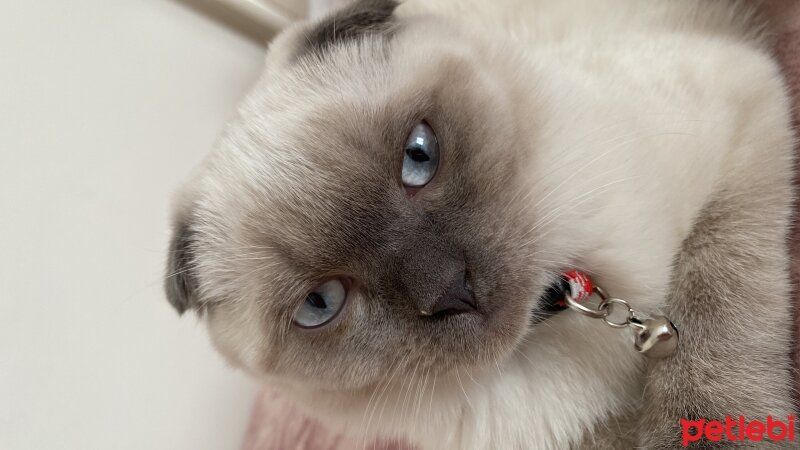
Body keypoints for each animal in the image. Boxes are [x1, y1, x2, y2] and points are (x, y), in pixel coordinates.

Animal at [166, 1, 796, 448]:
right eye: (321, 304)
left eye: (418, 156)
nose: (450, 288)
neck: (560, 310)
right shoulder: (587, 435)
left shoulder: (744, 110)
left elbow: (710, 323)